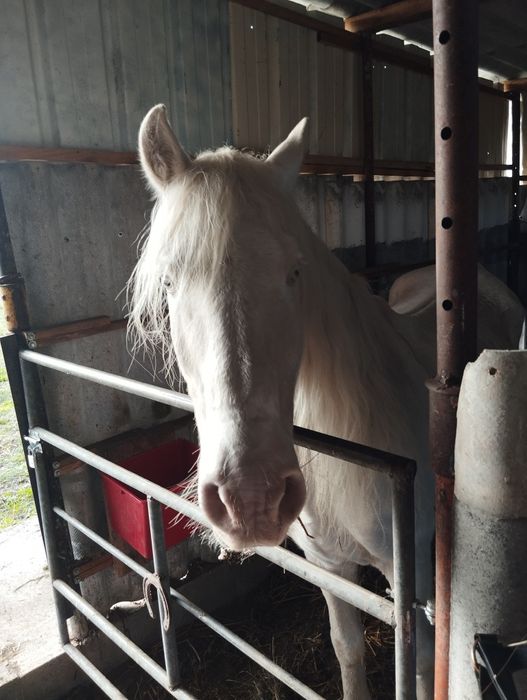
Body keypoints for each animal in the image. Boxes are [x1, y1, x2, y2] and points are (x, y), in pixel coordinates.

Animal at [129, 104, 524, 699]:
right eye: (171, 282)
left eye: (294, 271)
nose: (251, 498)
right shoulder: (327, 564)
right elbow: (347, 648)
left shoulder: (415, 580)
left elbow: (422, 662)